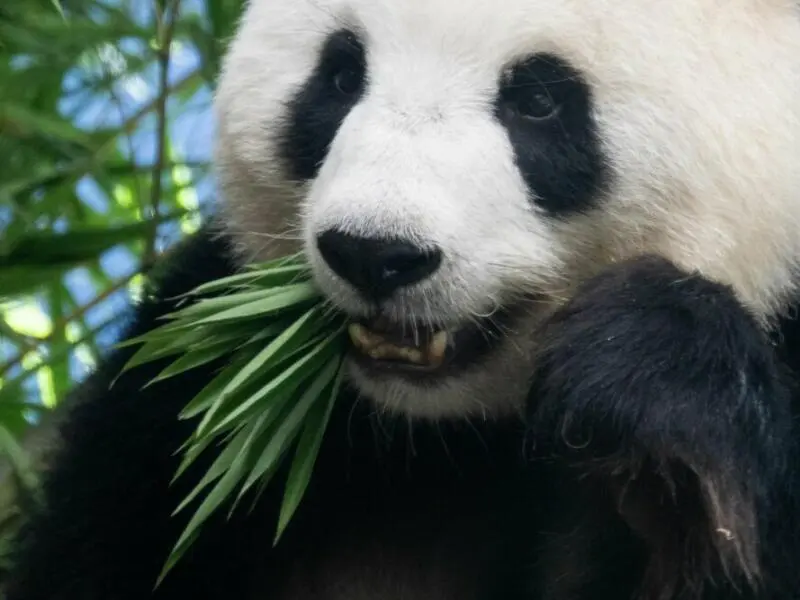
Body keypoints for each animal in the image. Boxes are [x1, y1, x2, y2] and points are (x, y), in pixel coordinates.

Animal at [4, 0, 800, 596]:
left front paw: (647, 386)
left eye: (539, 98)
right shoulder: (188, 407)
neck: (450, 434)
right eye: (340, 73)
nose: (374, 253)